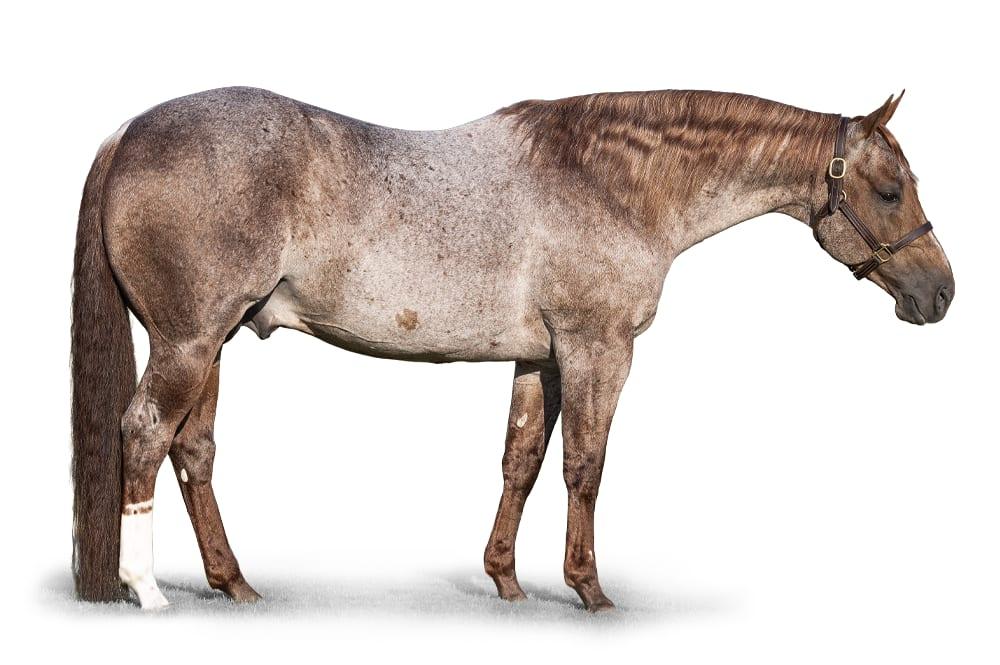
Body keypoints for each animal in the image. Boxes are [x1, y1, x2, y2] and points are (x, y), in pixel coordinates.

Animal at [70, 87, 954, 612]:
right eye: (888, 189)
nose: (940, 294)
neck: (612, 181)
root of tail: (127, 133)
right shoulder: (599, 350)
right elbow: (585, 467)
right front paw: (590, 590)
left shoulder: (542, 358)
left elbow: (521, 461)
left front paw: (505, 578)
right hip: (188, 341)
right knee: (146, 433)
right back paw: (146, 588)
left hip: (213, 341)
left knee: (194, 451)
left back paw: (235, 583)